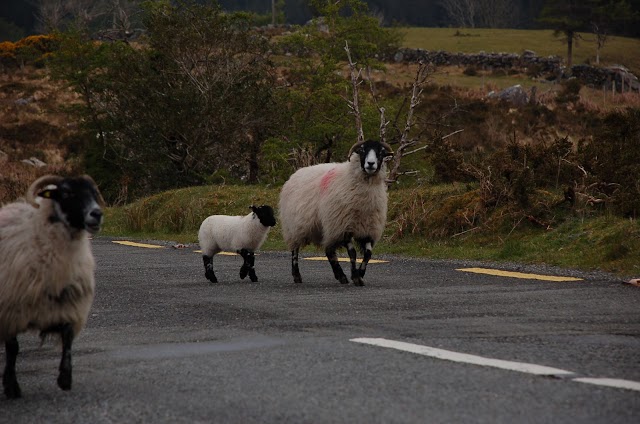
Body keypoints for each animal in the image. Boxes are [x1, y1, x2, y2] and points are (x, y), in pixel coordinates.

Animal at [0, 174, 104, 400]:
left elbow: (67, 339)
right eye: (66, 193)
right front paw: (12, 386)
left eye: (93, 193)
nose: (97, 214)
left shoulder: (68, 305)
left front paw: (65, 378)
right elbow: (13, 348)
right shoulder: (11, 308)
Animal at [282, 141, 396, 286]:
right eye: (362, 150)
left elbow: (368, 254)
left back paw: (340, 276)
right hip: (295, 226)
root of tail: (295, 174)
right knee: (295, 250)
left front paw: (360, 274)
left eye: (380, 152)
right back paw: (297, 275)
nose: (370, 164)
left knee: (329, 251)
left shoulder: (368, 228)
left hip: (327, 227)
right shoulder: (344, 226)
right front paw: (356, 276)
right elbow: (352, 253)